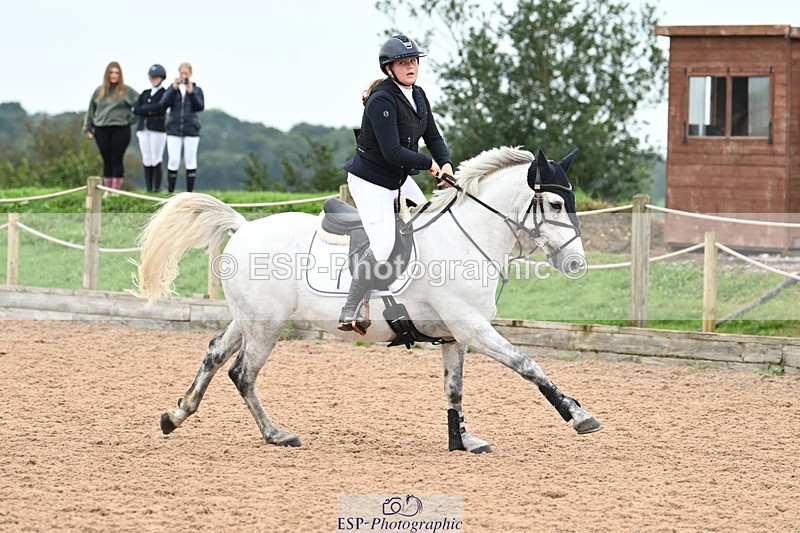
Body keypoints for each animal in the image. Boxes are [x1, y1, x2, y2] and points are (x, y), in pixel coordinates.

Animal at [134, 146, 602, 453]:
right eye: (555, 203)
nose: (576, 263)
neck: (466, 238)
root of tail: (244, 226)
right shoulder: (472, 327)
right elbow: (529, 365)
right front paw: (579, 416)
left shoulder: (454, 336)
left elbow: (454, 389)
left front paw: (462, 441)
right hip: (265, 326)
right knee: (243, 373)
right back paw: (276, 434)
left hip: (250, 319)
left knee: (215, 355)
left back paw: (176, 415)